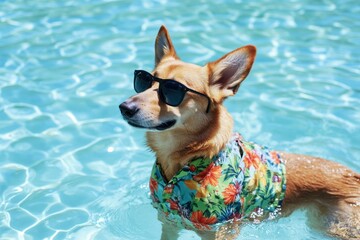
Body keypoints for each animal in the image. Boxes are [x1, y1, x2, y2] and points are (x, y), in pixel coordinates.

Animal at [120, 25, 360, 239]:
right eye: (143, 81)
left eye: (173, 89)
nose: (124, 107)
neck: (191, 160)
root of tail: (353, 175)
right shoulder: (169, 222)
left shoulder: (221, 231)